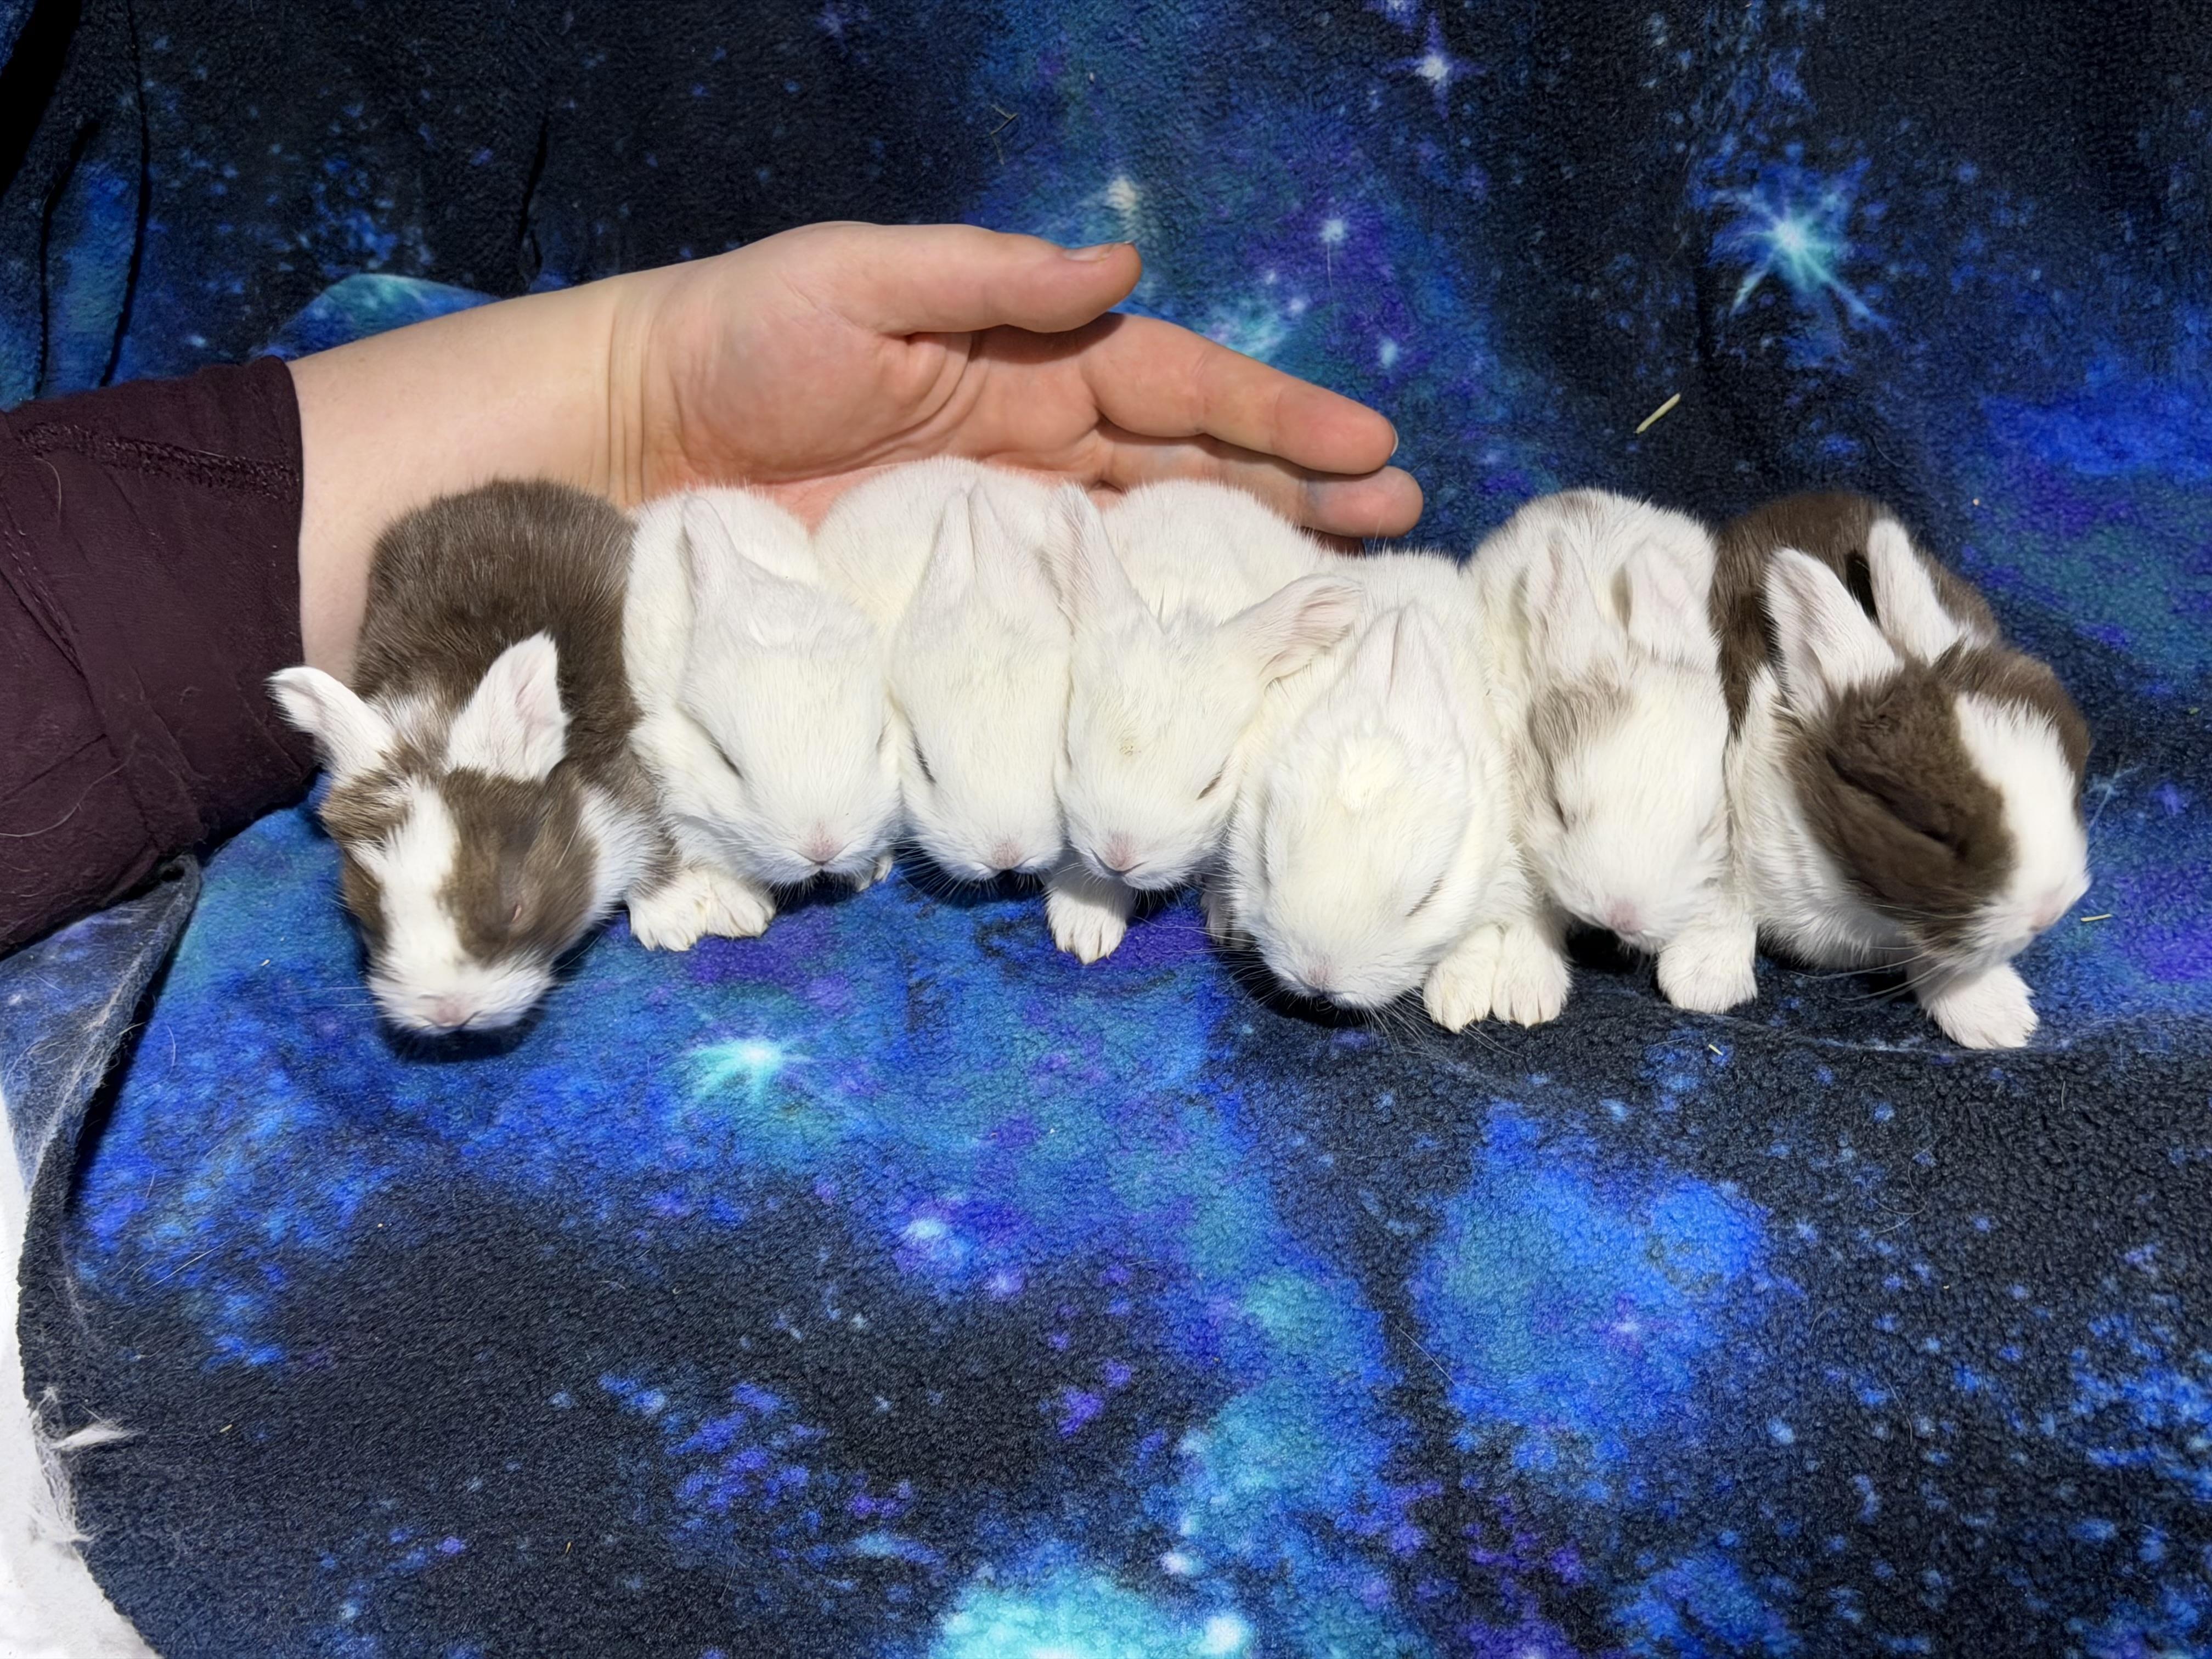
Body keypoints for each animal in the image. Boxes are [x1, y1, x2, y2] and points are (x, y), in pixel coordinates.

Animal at [269, 480, 695, 1035]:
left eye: (515, 907)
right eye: (371, 921)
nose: (450, 1013)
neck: (438, 717)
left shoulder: (624, 777)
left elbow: (652, 829)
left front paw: (677, 915)